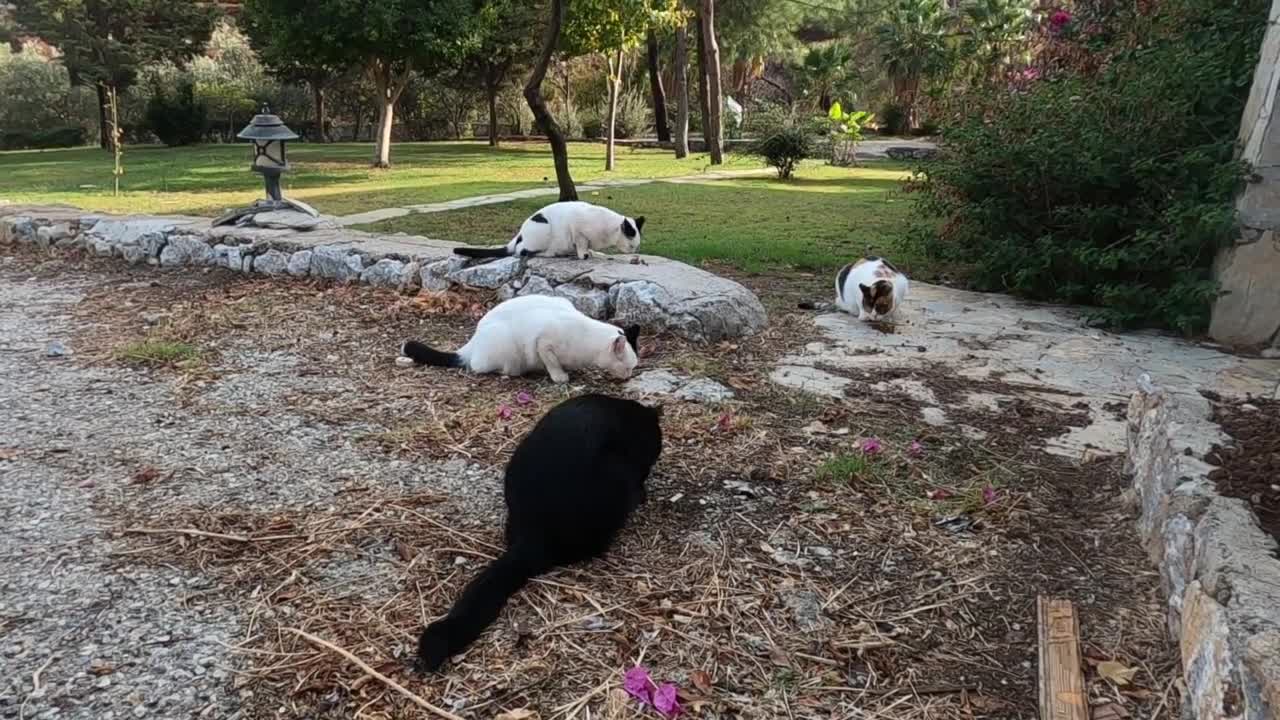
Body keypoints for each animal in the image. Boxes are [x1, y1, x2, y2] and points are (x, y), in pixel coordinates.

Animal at [399, 293, 640, 381]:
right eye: (628, 367)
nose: (629, 376)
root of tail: (472, 342)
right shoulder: (543, 342)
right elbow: (552, 363)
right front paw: (560, 376)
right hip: (505, 348)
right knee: (480, 367)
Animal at [453, 198, 650, 260]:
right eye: (632, 245)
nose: (634, 251)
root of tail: (519, 234)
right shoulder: (578, 232)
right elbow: (582, 246)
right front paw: (584, 255)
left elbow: (588, 248)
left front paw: (594, 253)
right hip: (543, 229)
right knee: (521, 251)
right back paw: (549, 253)